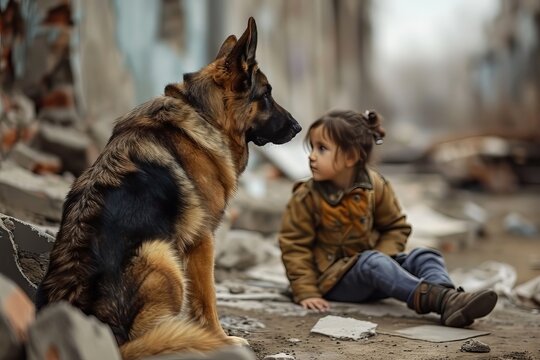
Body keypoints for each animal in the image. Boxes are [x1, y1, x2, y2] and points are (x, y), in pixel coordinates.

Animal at [35, 18, 302, 358]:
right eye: (266, 95)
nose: (298, 127)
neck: (204, 113)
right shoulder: (203, 240)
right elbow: (208, 298)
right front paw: (221, 339)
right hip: (161, 254)